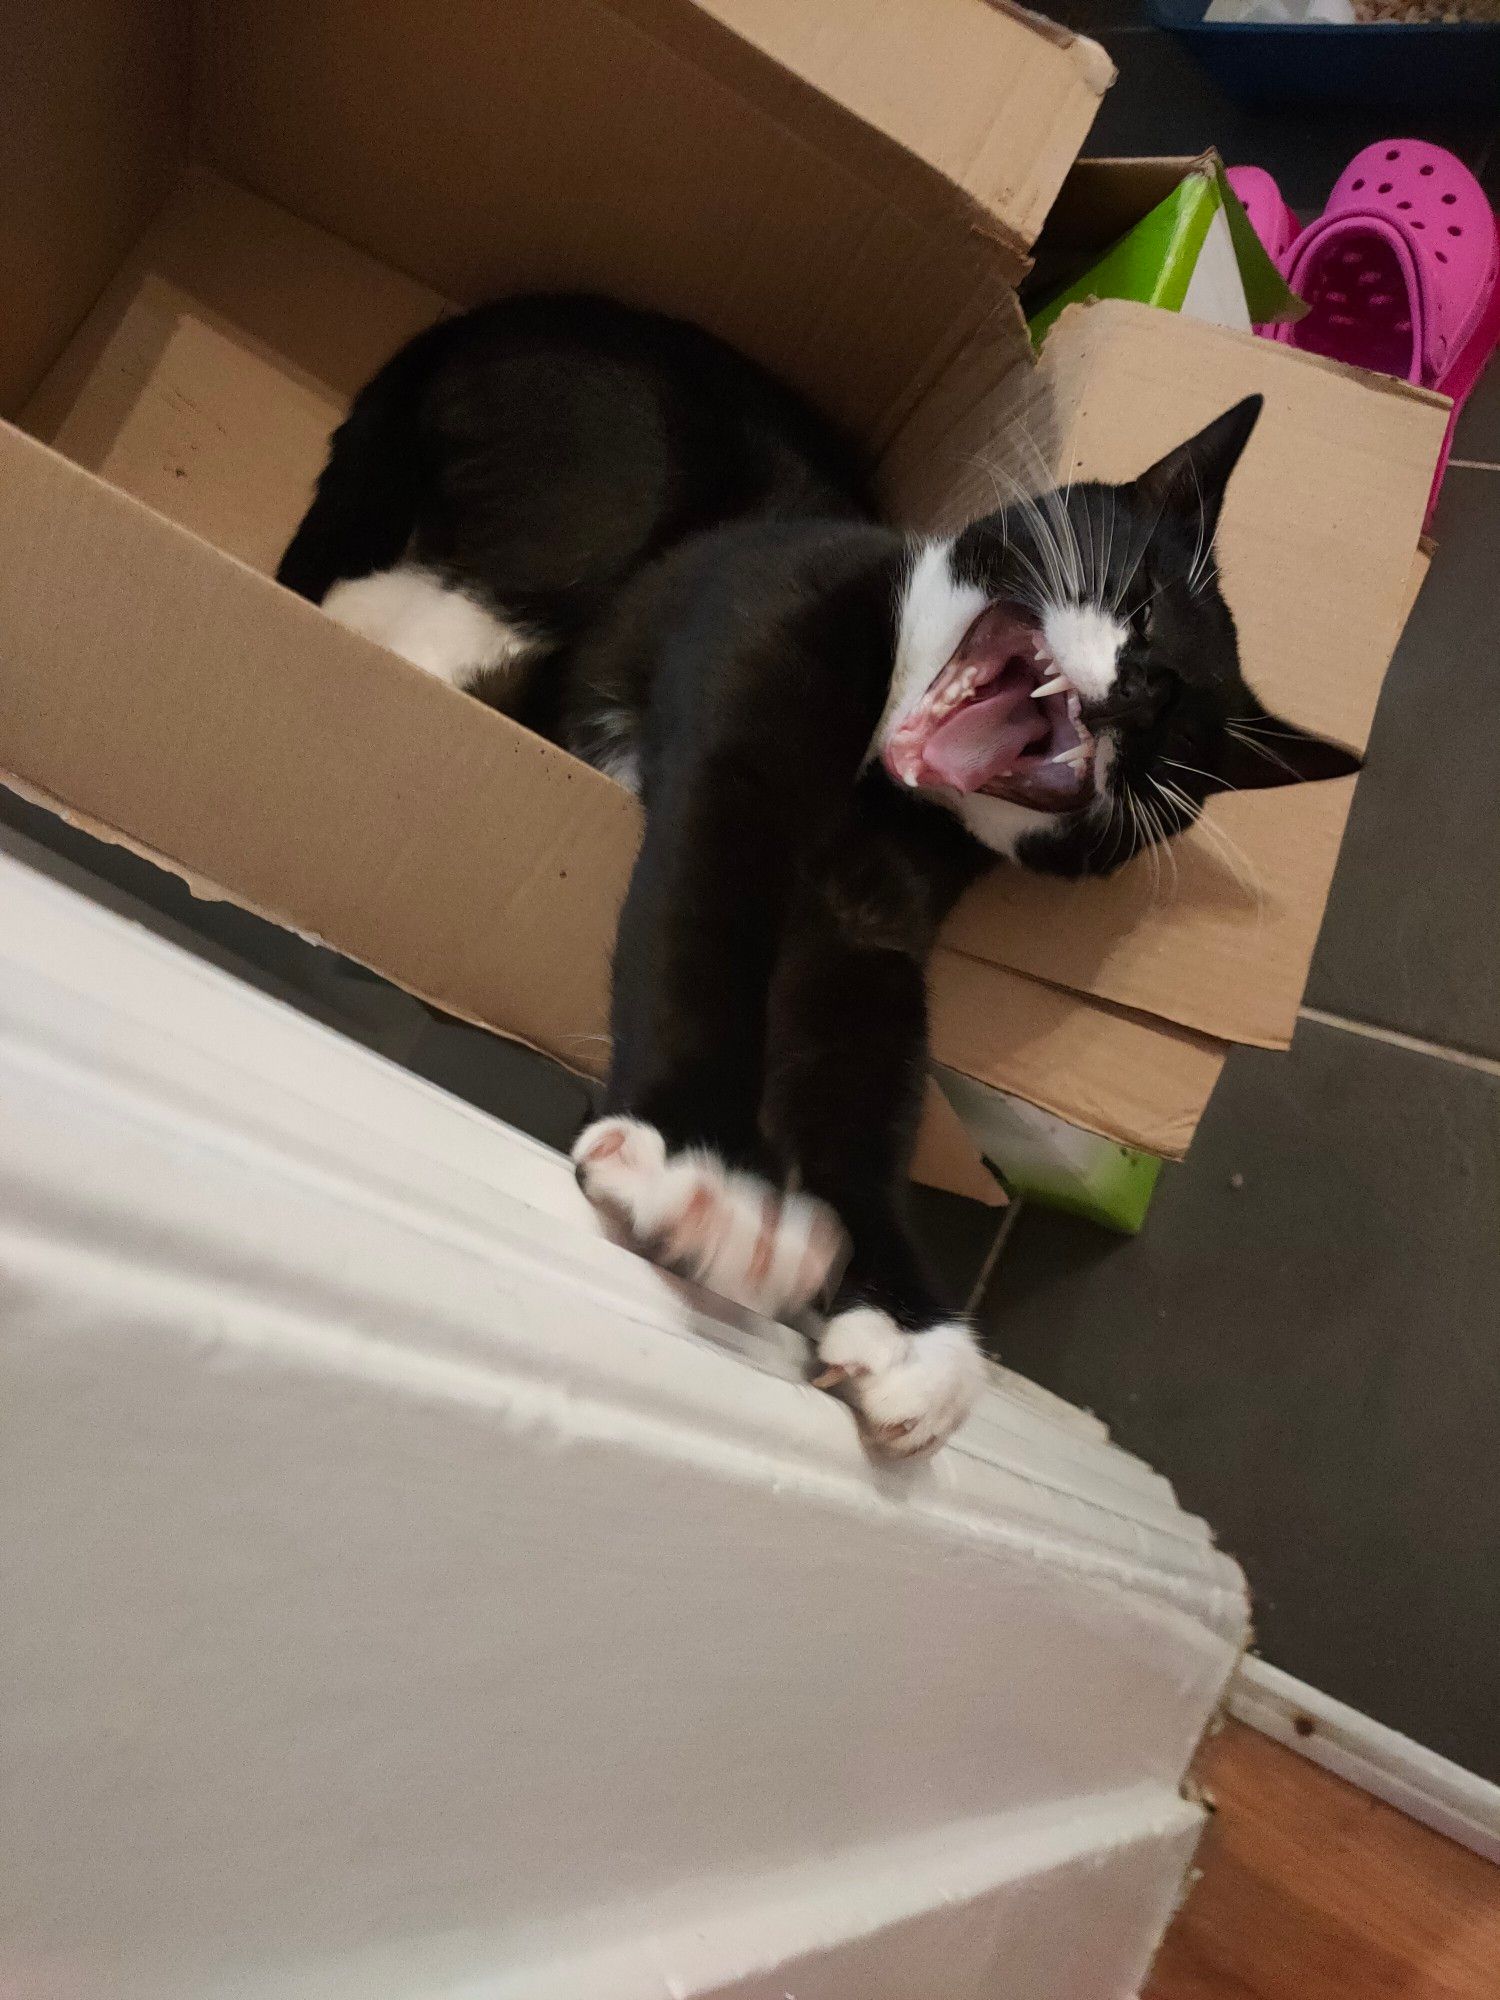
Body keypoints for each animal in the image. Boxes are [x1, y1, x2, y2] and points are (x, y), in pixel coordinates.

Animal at [282, 292, 1360, 1456]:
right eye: (1151, 597)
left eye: (1189, 744)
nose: (1150, 690)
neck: (878, 762)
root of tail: (503, 304)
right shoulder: (762, 670)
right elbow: (708, 917)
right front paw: (707, 1169)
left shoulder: (876, 905)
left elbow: (863, 1059)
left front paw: (911, 1326)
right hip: (599, 483)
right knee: (401, 603)